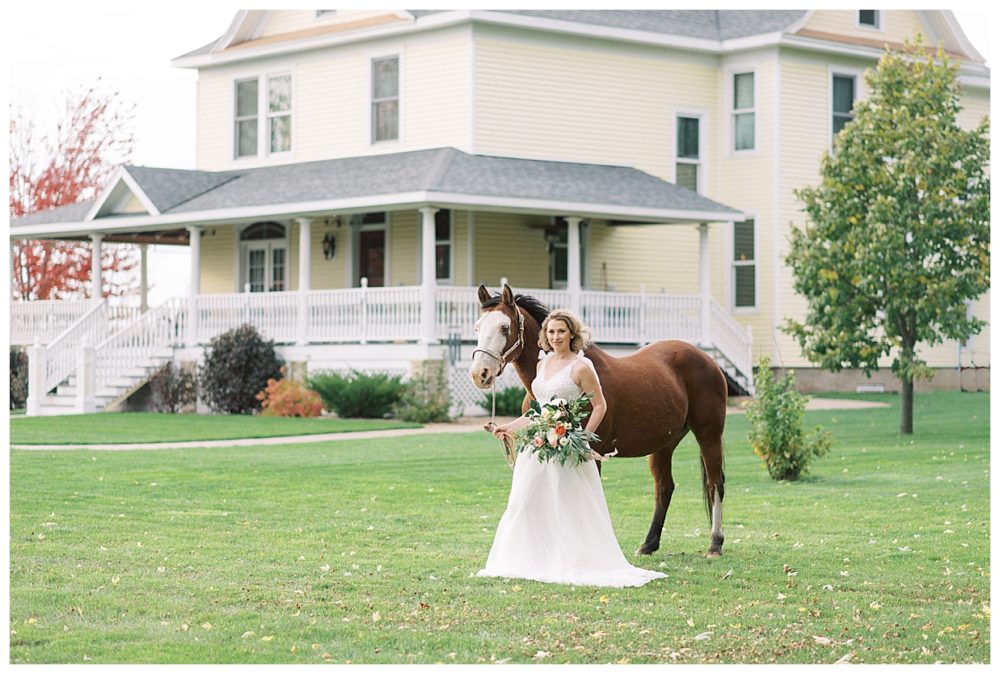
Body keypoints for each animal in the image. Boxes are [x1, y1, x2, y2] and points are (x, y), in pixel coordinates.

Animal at [470, 283, 728, 558]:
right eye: (477, 327)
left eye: (504, 327)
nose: (480, 374)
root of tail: (708, 360)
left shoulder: (590, 453)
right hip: (664, 445)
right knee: (664, 488)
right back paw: (648, 544)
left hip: (709, 435)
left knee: (715, 484)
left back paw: (715, 544)